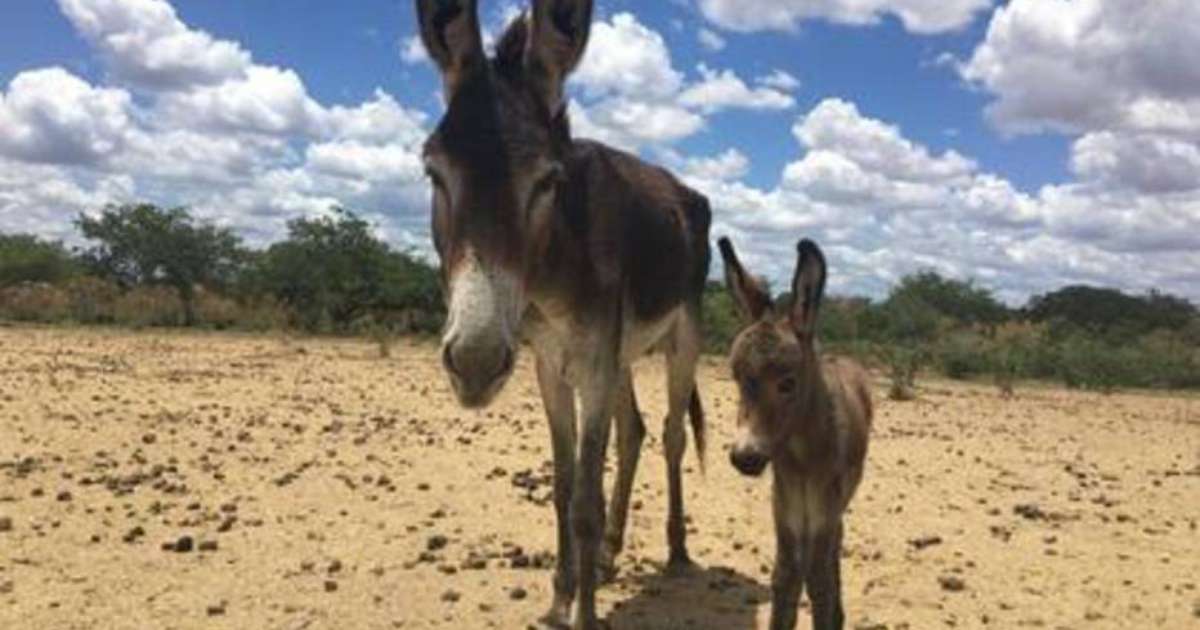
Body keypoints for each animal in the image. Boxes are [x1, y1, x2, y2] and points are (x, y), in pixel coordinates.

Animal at [710, 237, 873, 628]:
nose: (745, 457)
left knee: (832, 551)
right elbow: (785, 578)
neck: (801, 460)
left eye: (788, 383)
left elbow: (819, 582)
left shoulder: (822, 512)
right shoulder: (784, 511)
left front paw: (832, 614)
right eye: (737, 377)